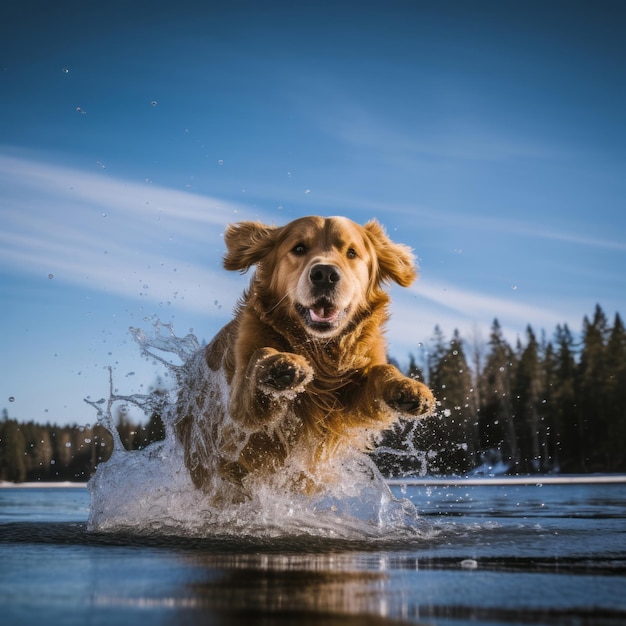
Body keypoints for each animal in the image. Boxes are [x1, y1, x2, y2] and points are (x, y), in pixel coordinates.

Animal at [173, 214, 432, 498]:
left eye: (351, 253)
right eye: (299, 248)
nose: (325, 274)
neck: (319, 352)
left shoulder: (348, 401)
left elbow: (381, 370)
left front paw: (410, 389)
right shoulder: (238, 411)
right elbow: (262, 354)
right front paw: (281, 365)